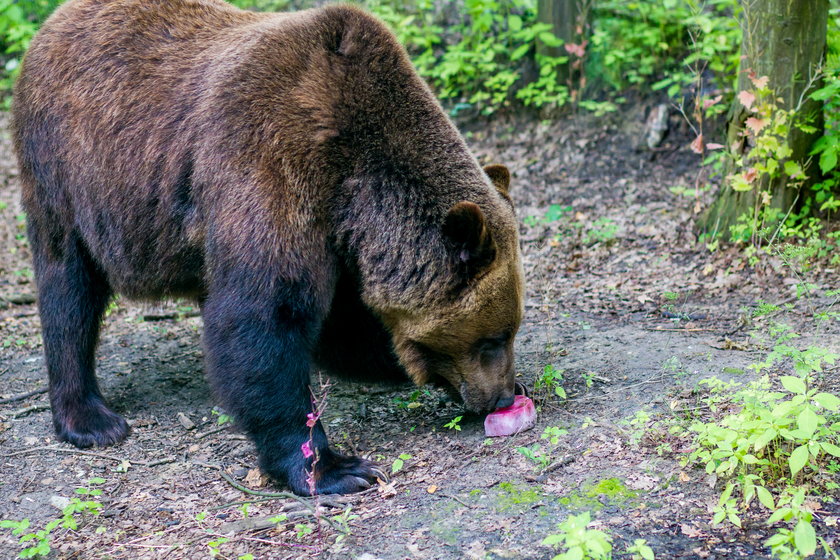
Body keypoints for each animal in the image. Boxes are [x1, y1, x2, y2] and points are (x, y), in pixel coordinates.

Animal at [13, 0, 520, 494]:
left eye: (509, 332)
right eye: (492, 338)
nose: (503, 395)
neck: (353, 182)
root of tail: (52, 23)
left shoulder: (336, 238)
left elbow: (338, 326)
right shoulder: (270, 162)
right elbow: (264, 316)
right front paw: (335, 467)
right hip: (71, 175)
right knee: (69, 291)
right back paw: (91, 419)